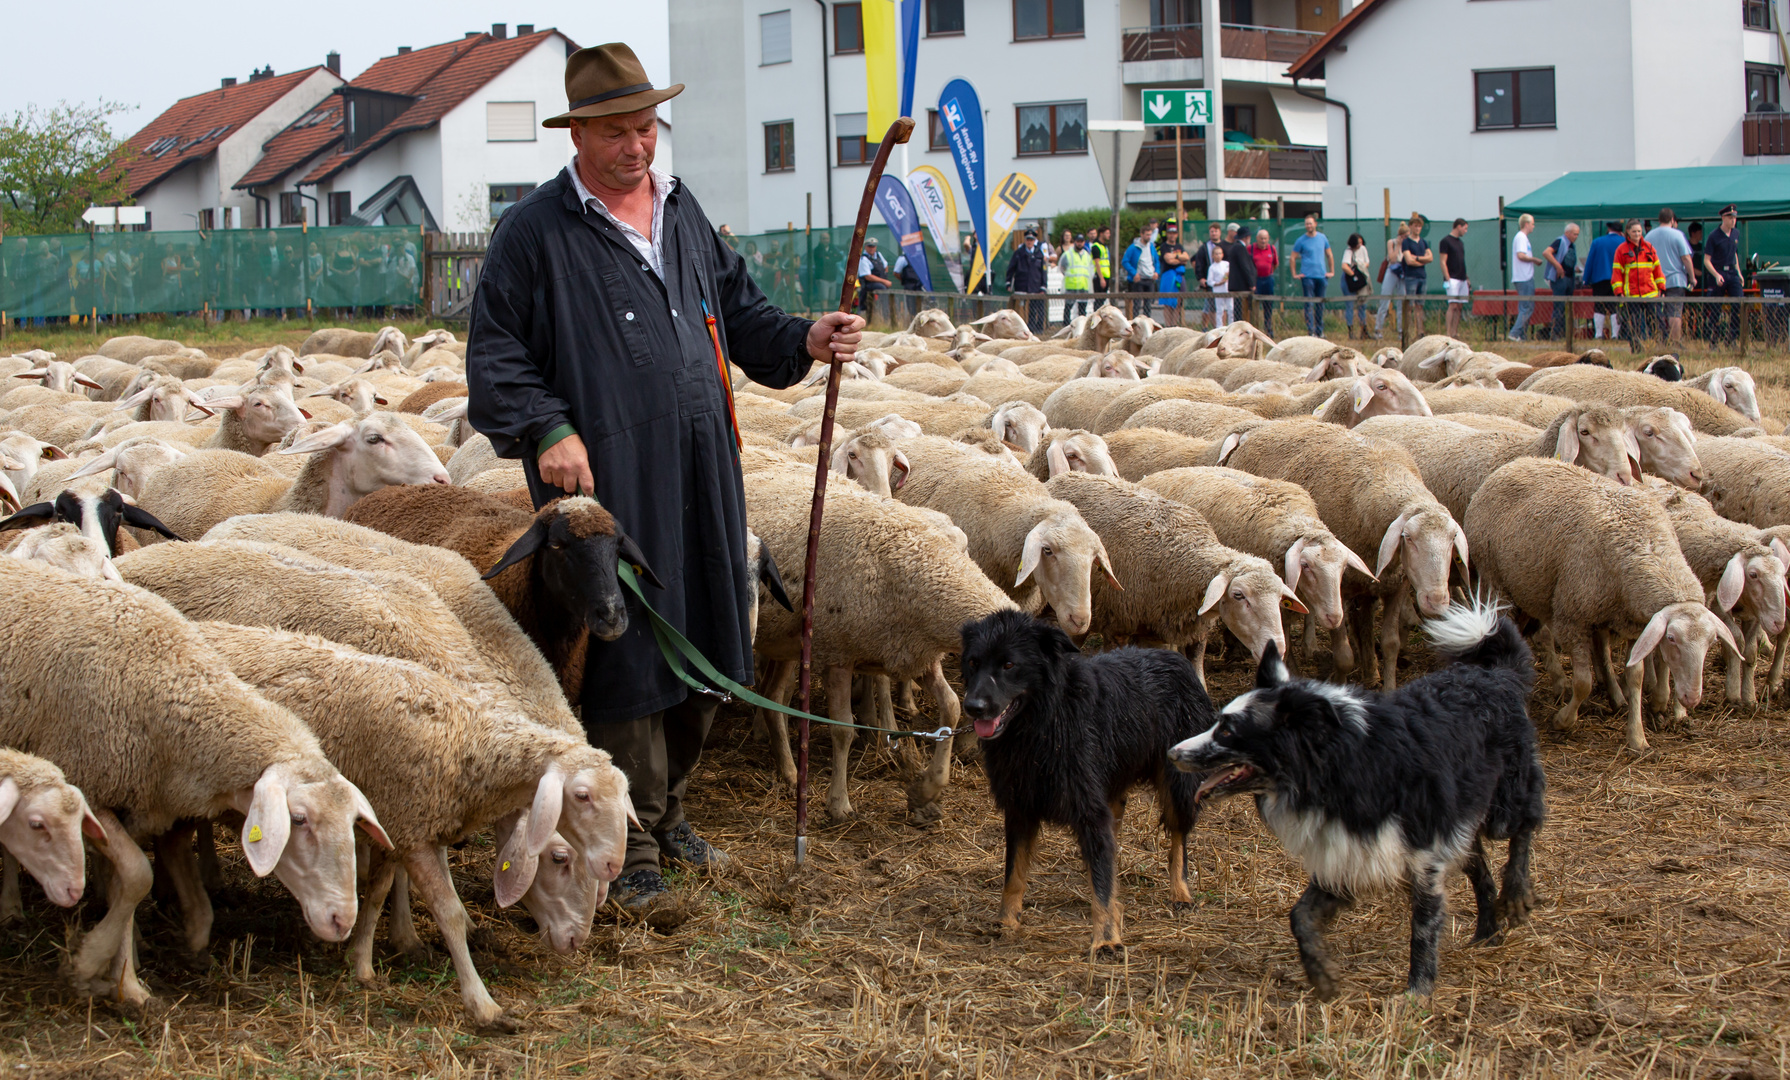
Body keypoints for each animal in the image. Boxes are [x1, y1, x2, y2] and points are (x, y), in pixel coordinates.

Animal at [952, 612, 1217, 960]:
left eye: (1009, 664)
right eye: (973, 662)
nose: (973, 707)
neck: (1044, 720)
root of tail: (1177, 659)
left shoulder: (1090, 811)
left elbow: (1101, 887)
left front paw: (1105, 939)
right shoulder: (1020, 808)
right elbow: (1013, 872)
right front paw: (1007, 920)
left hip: (1177, 785)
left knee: (1178, 839)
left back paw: (1180, 892)